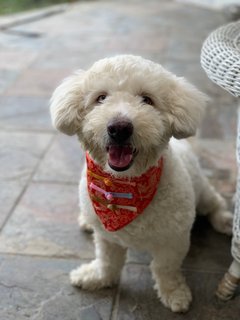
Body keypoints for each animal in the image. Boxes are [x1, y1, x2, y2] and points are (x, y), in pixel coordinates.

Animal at [49, 55, 232, 312]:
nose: (119, 128)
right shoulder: (107, 237)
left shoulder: (173, 240)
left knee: (214, 202)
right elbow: (107, 261)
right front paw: (96, 278)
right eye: (101, 98)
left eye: (147, 99)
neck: (125, 185)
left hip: (202, 192)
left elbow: (165, 269)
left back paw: (224, 220)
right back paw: (85, 221)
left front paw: (174, 293)